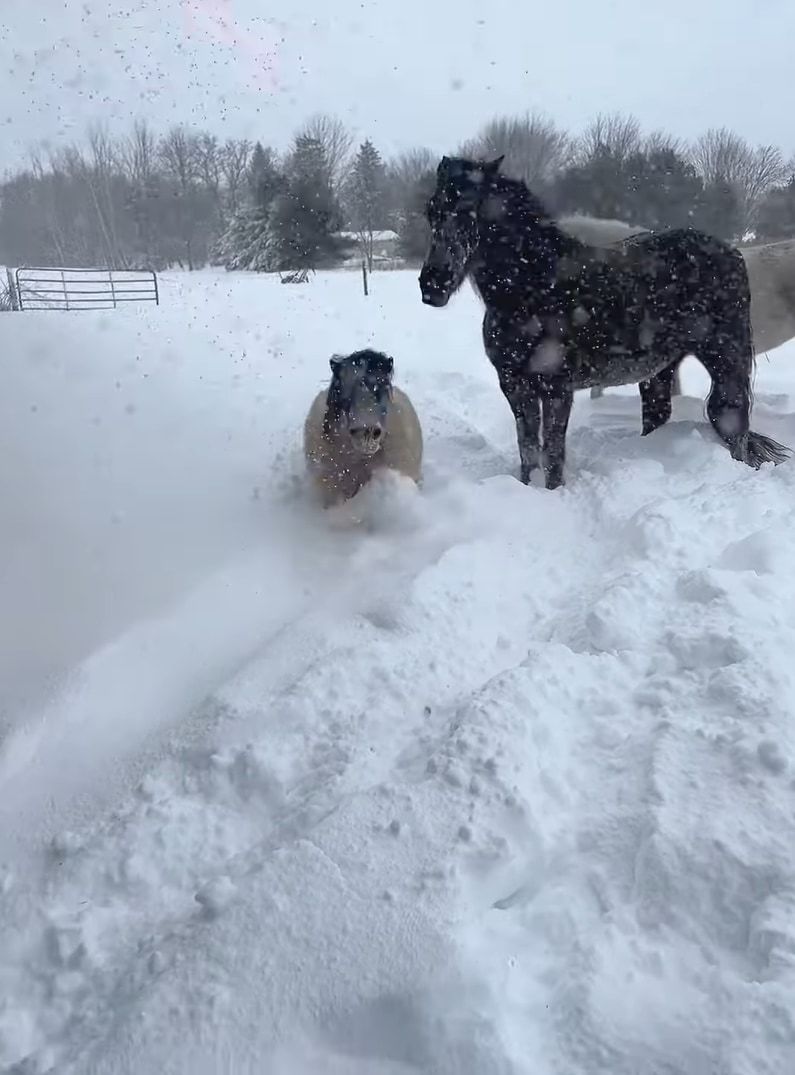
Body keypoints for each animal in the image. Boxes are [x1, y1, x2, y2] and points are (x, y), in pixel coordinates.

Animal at [416, 153, 790, 490]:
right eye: (432, 211)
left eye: (472, 210)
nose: (433, 285)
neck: (535, 289)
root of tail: (732, 252)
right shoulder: (515, 386)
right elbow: (528, 453)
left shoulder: (556, 388)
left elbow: (552, 456)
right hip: (659, 372)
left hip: (727, 362)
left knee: (733, 423)